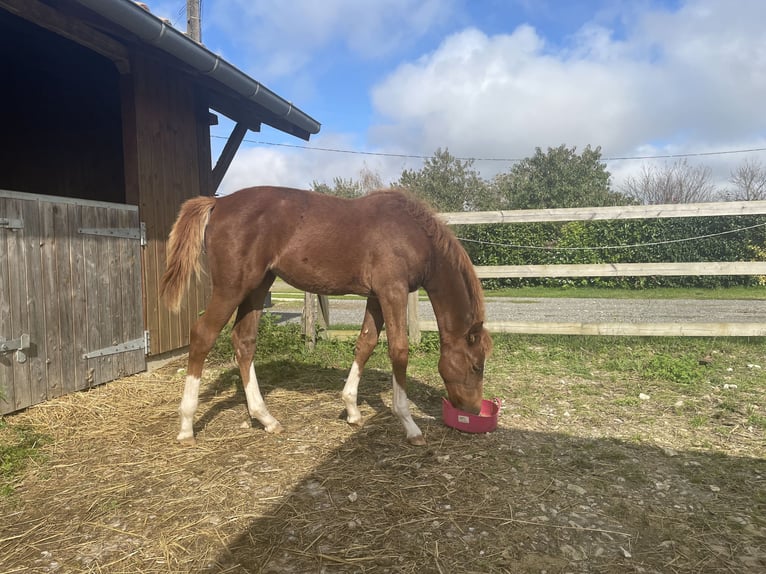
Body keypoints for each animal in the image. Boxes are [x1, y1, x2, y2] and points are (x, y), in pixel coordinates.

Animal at [160, 187, 496, 448]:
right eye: (476, 365)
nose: (473, 409)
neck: (412, 232)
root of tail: (219, 202)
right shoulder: (393, 291)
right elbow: (399, 350)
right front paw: (409, 424)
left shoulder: (376, 296)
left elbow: (365, 344)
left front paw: (352, 411)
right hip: (232, 287)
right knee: (203, 335)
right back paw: (186, 426)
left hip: (258, 285)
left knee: (244, 341)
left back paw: (266, 418)